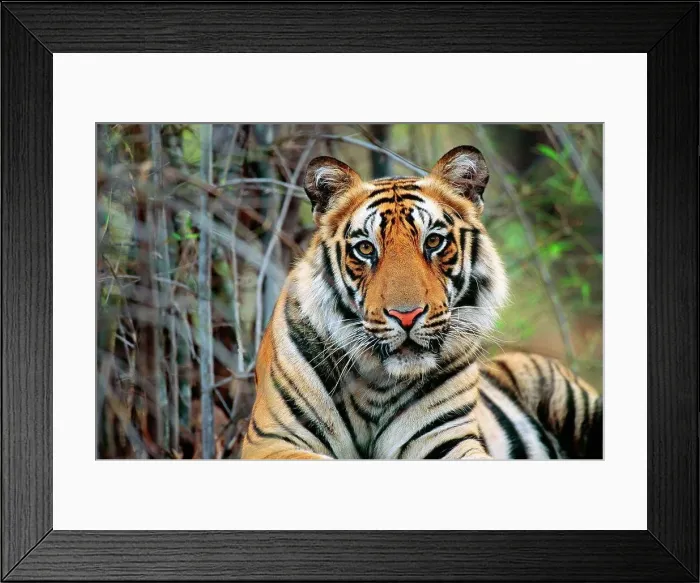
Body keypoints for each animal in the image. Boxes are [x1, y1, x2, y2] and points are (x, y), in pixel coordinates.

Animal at [241, 145, 602, 460]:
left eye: (433, 242)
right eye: (366, 248)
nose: (406, 315)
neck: (377, 386)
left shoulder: (444, 440)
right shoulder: (271, 441)